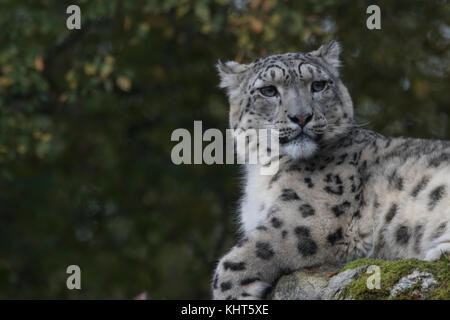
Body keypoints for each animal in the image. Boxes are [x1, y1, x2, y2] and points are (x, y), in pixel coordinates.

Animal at [212, 40, 450, 300]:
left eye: (318, 85)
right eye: (268, 90)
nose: (302, 116)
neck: (264, 170)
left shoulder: (304, 220)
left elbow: (236, 260)